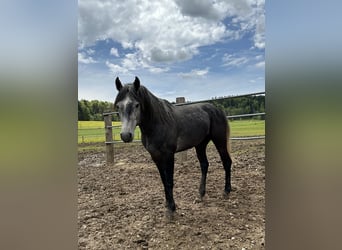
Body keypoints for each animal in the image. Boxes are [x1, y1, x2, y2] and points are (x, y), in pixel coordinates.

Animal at [115, 76, 232, 215]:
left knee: (226, 162)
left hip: (220, 141)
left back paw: (226, 191)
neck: (158, 123)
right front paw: (167, 204)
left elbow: (169, 181)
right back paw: (201, 194)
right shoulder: (155, 156)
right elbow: (164, 181)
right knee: (204, 165)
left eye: (137, 105)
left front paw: (172, 208)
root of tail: (217, 109)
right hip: (200, 145)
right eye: (118, 106)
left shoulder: (169, 155)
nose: (126, 135)